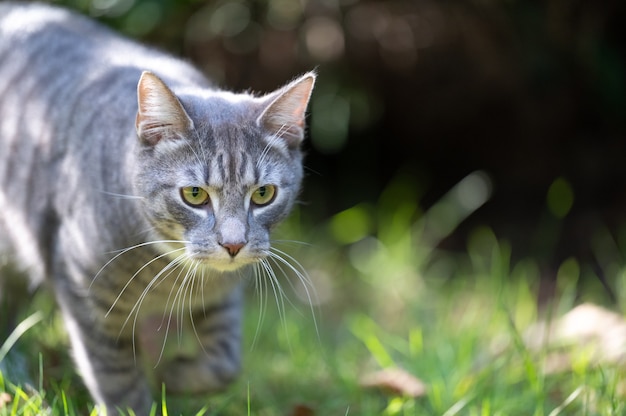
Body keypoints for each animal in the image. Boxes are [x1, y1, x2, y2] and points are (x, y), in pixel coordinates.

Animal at [0, 2, 314, 412]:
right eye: (194, 194)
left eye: (263, 194)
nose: (233, 245)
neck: (170, 276)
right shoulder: (89, 304)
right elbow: (118, 382)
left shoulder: (221, 297)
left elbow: (225, 363)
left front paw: (173, 374)